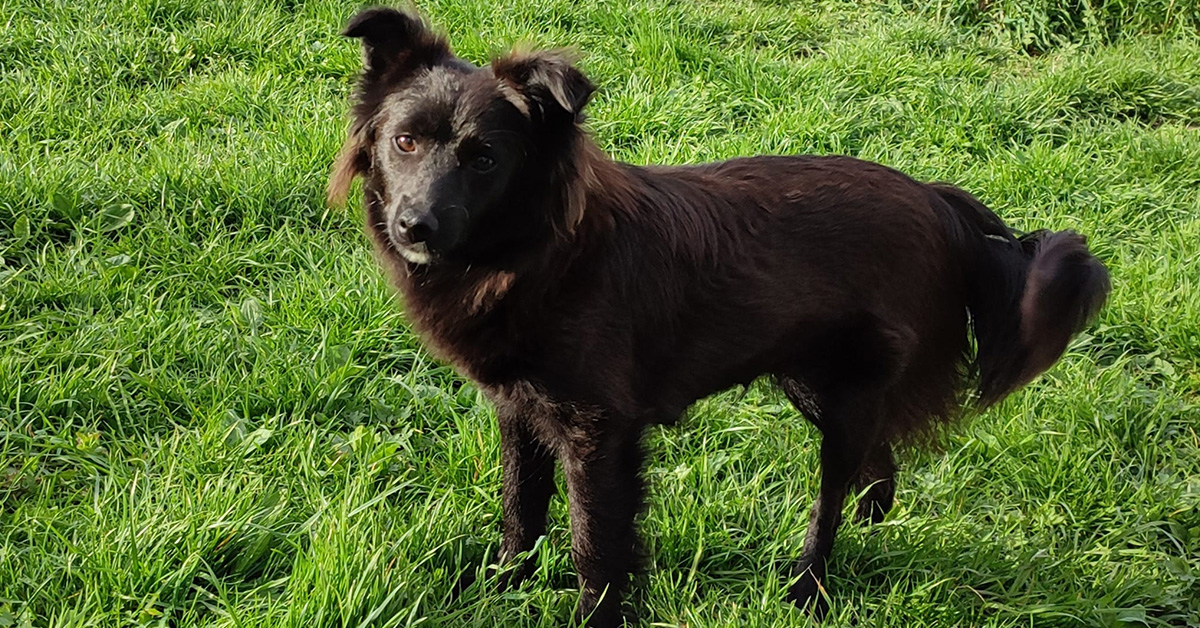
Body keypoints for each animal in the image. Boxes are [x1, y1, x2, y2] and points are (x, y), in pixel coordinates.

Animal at [326, 7, 1104, 624]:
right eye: (404, 142)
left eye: (485, 158)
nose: (414, 226)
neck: (540, 254)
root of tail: (940, 203)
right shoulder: (521, 409)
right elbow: (521, 511)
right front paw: (498, 592)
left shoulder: (597, 431)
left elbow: (593, 543)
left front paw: (592, 616)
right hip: (811, 379)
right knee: (880, 467)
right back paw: (874, 533)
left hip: (842, 393)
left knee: (834, 493)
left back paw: (808, 589)